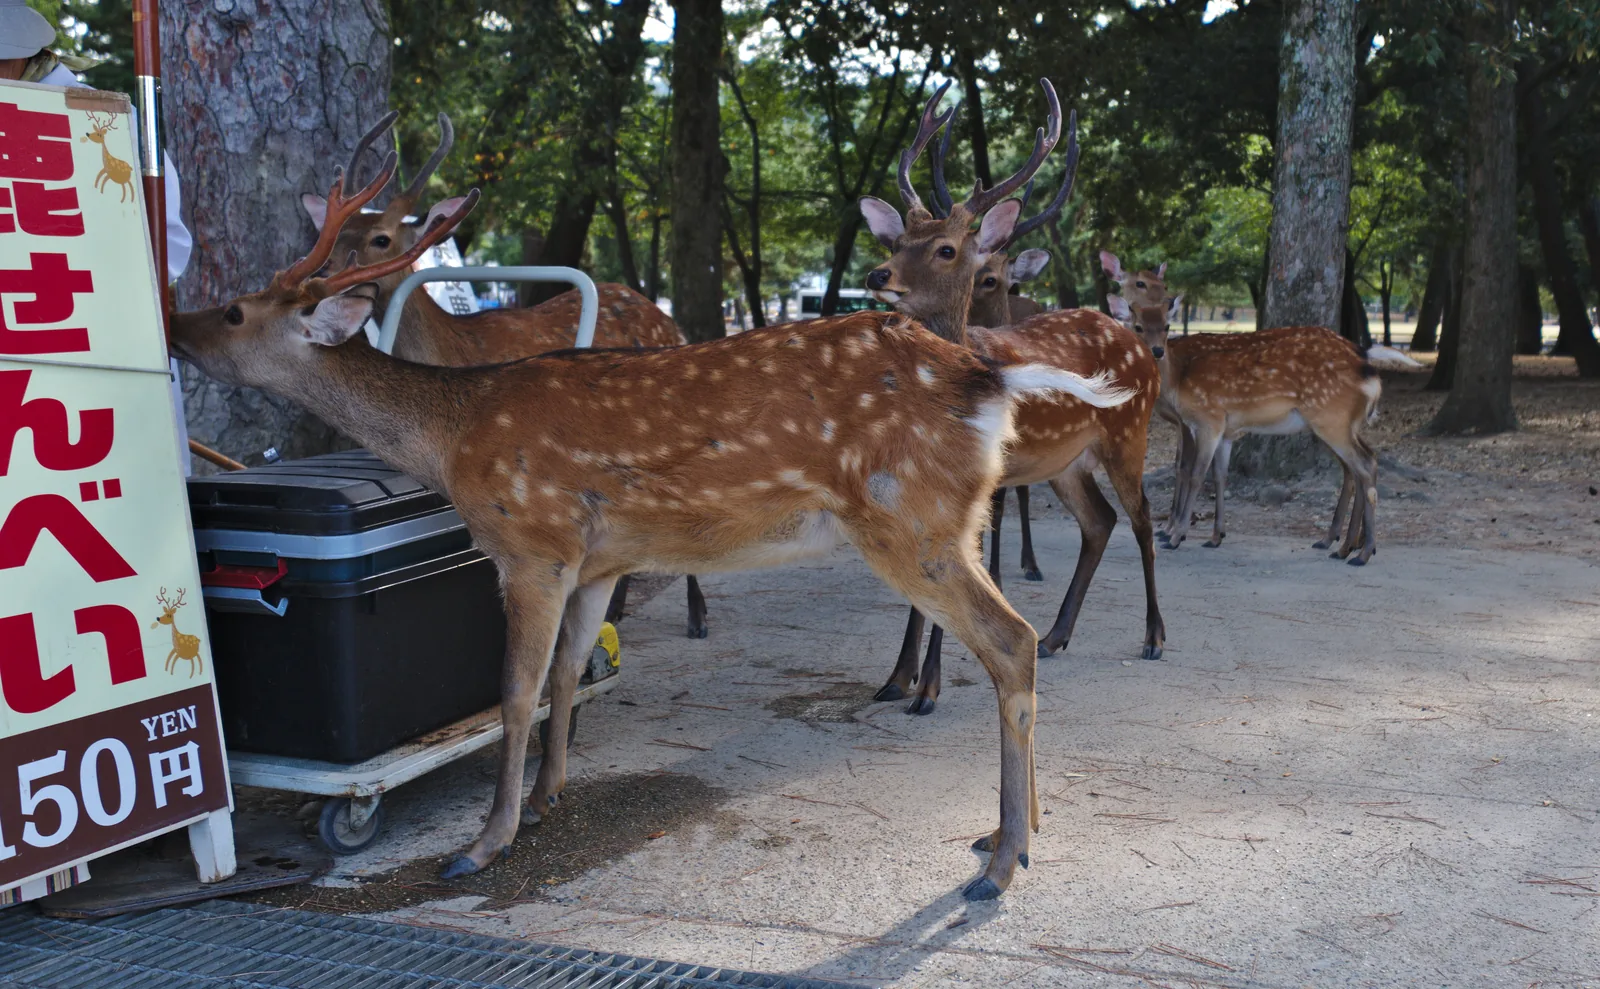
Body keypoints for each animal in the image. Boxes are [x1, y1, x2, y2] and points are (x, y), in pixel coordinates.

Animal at [305, 112, 707, 638]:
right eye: (338, 233)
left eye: (382, 238)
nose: (321, 277)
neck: (454, 351)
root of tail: (668, 318)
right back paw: (617, 610)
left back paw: (697, 616)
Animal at [858, 79, 1165, 719]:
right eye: (899, 239)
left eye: (946, 249)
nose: (877, 275)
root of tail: (1141, 345)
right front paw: (896, 678)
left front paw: (928, 688)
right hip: (1067, 461)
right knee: (1099, 521)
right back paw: (1054, 636)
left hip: (1131, 432)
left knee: (1143, 517)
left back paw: (1154, 636)